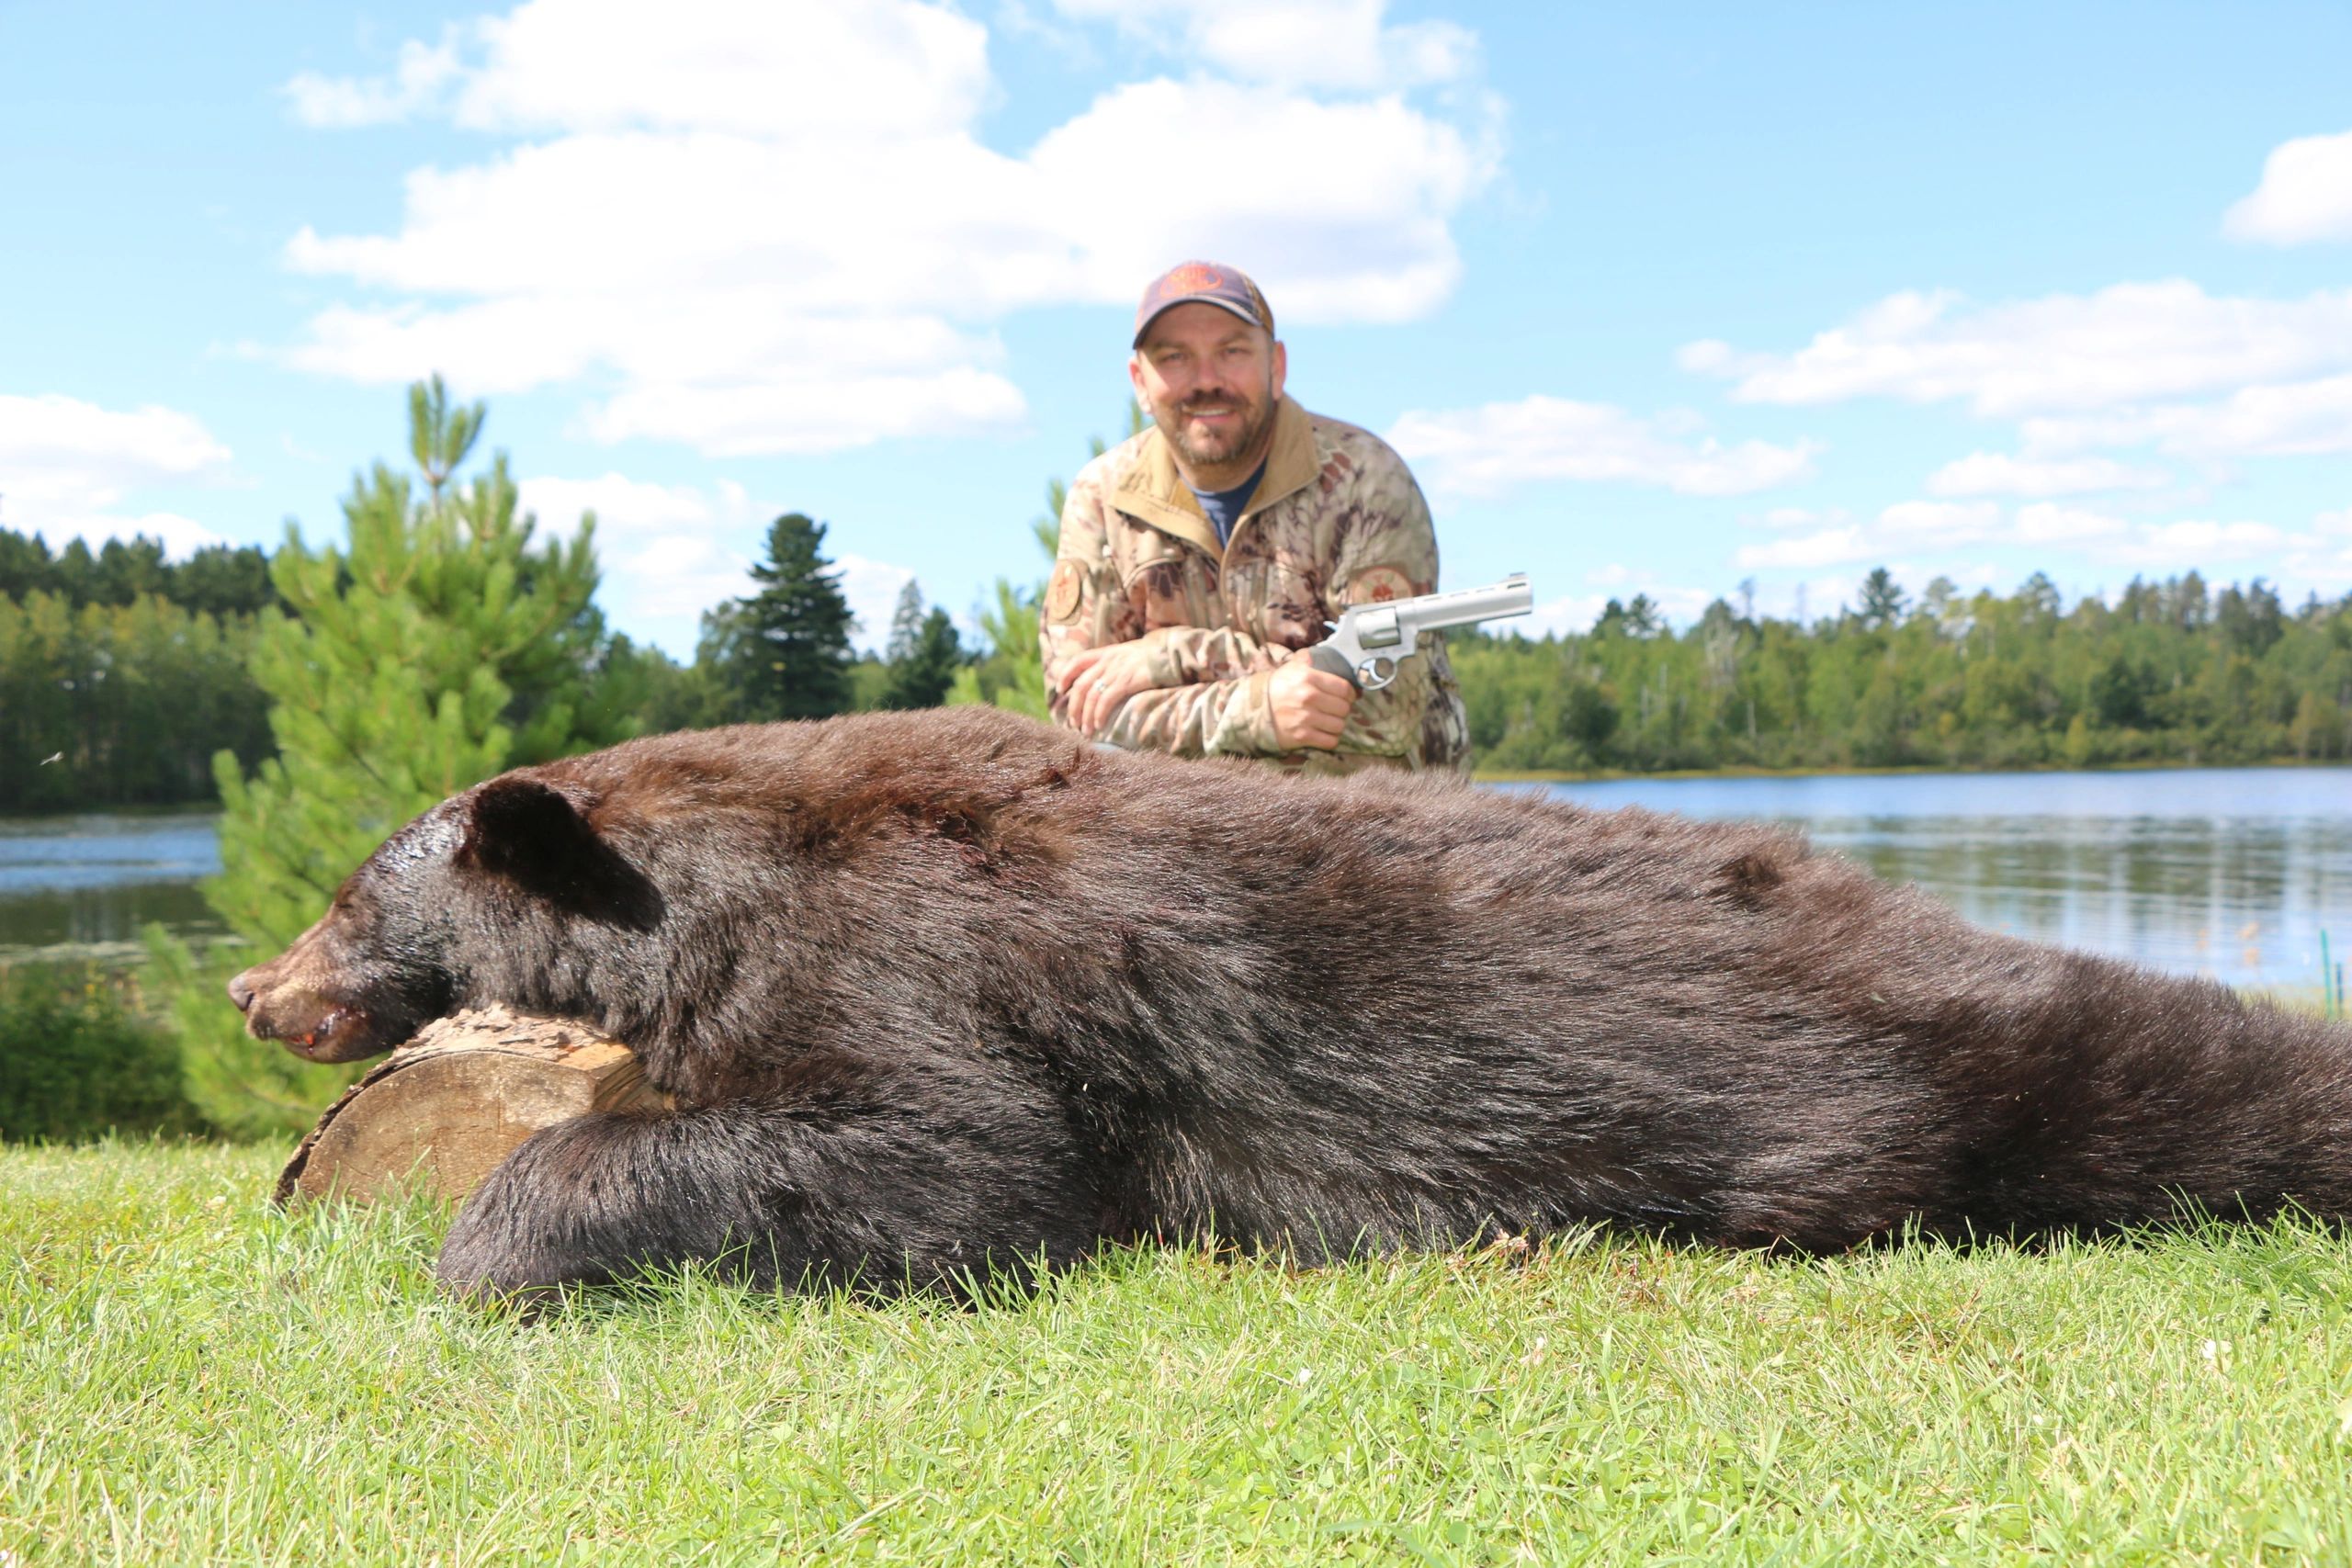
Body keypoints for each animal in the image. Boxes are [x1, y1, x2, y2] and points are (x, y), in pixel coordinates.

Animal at [224, 709, 2352, 1297]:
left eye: (344, 891)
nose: (254, 985)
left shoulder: (909, 951)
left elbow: (956, 1154)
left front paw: (497, 1236)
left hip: (1934, 1065)